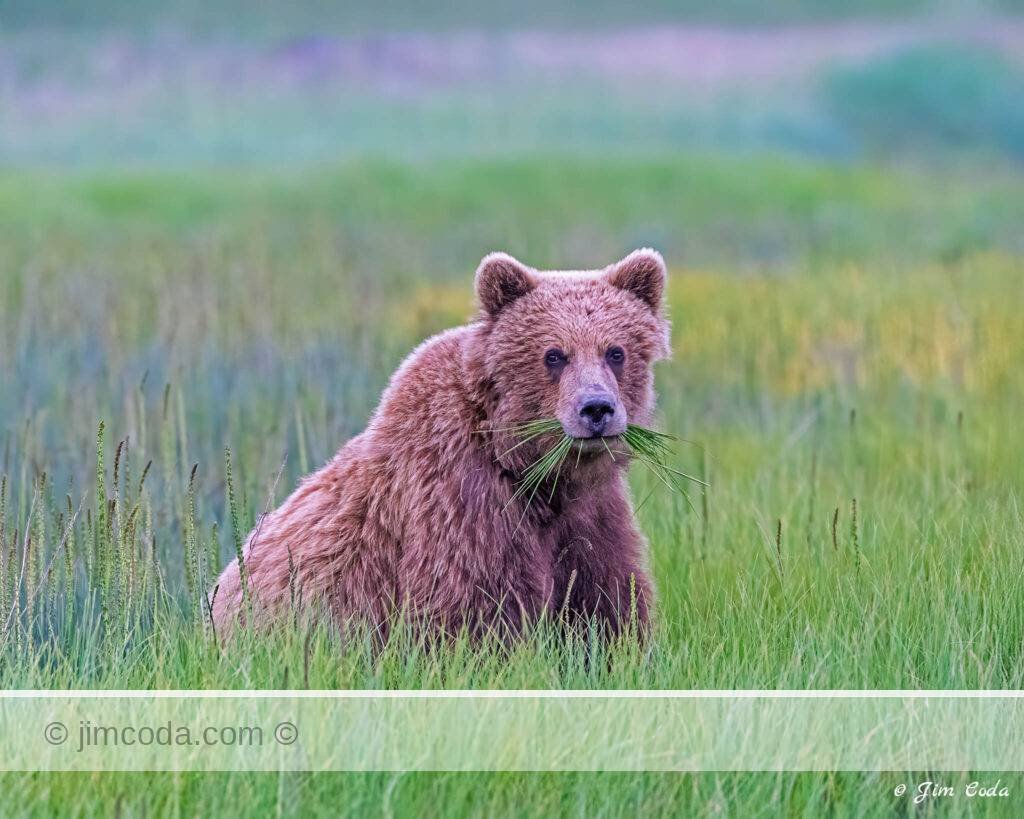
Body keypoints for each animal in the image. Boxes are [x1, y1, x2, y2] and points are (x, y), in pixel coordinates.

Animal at [211, 248, 671, 640]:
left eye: (616, 351)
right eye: (553, 355)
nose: (596, 409)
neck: (533, 472)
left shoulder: (590, 513)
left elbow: (605, 600)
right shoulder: (462, 500)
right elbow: (475, 607)